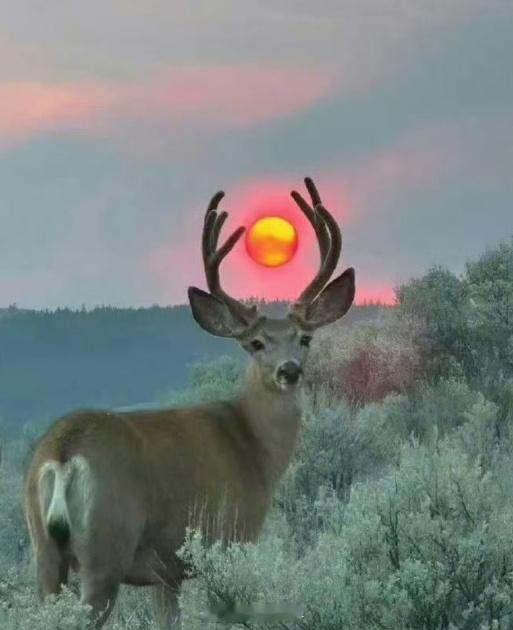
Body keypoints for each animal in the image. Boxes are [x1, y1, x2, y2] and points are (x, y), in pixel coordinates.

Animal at [23, 177, 352, 628]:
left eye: (305, 338)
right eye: (255, 343)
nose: (289, 371)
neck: (252, 446)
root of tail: (62, 453)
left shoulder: (166, 573)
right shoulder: (231, 539)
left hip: (44, 553)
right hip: (105, 549)